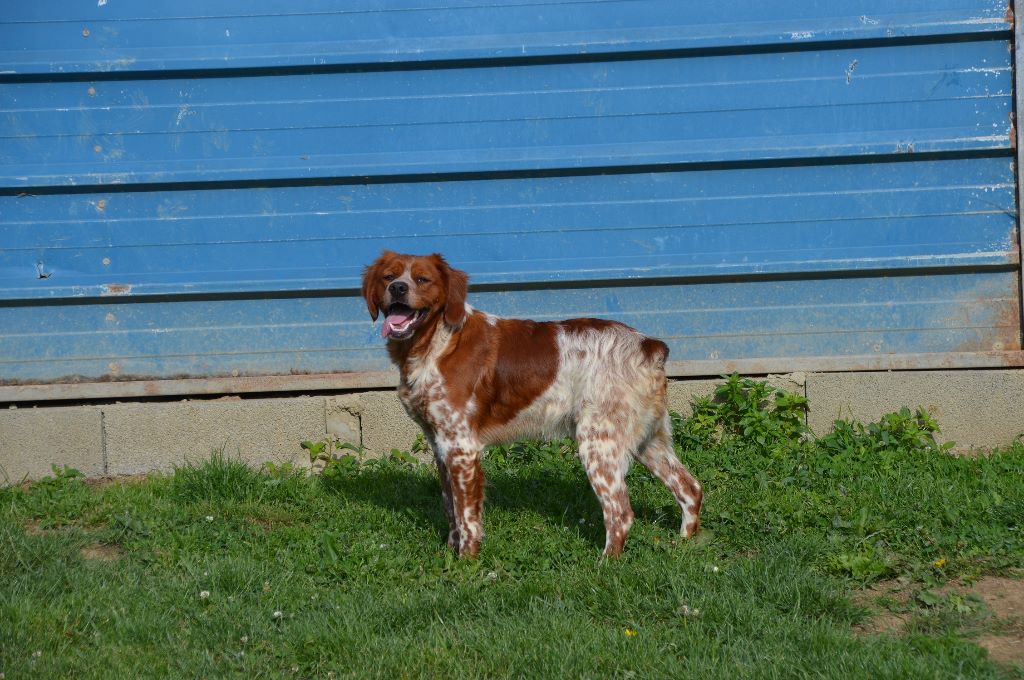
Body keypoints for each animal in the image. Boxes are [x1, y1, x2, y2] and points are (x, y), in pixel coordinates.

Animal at [362, 250, 704, 557]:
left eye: (422, 279)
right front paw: (449, 553)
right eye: (388, 277)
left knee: (620, 513)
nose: (398, 288)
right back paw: (686, 544)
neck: (437, 343)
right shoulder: (439, 444)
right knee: (691, 488)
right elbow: (451, 509)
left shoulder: (461, 447)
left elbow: (467, 518)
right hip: (649, 440)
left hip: (598, 443)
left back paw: (605, 564)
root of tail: (649, 346)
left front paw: (465, 563)